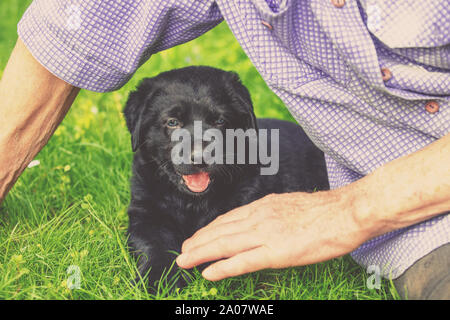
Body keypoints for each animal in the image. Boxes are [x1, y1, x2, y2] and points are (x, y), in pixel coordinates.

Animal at [123, 66, 326, 288]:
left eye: (219, 121)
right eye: (172, 122)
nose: (199, 158)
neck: (191, 202)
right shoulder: (145, 213)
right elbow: (155, 245)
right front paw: (156, 281)